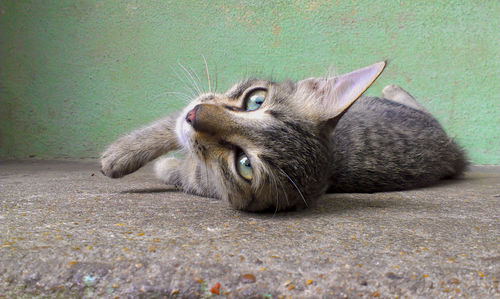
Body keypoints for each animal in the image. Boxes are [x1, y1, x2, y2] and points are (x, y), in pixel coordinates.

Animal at [99, 62, 466, 212]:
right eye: (256, 100)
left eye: (244, 165)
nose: (195, 116)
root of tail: (453, 153)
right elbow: (166, 126)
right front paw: (122, 153)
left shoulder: (201, 178)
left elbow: (182, 169)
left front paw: (162, 165)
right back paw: (393, 87)